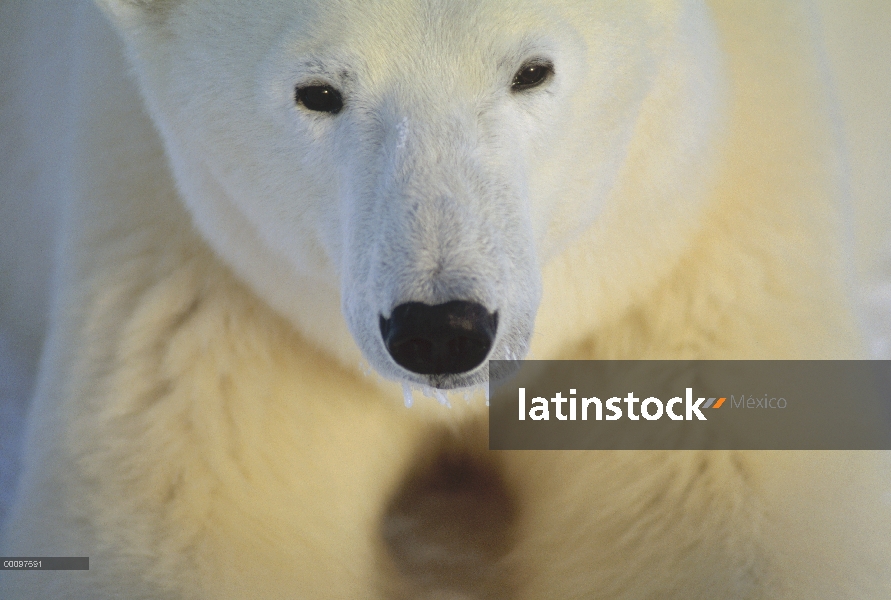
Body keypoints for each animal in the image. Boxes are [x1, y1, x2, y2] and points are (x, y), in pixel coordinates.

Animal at [1, 0, 891, 596]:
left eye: (532, 70)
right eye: (317, 90)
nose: (440, 328)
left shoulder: (687, 252)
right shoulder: (196, 265)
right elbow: (179, 507)